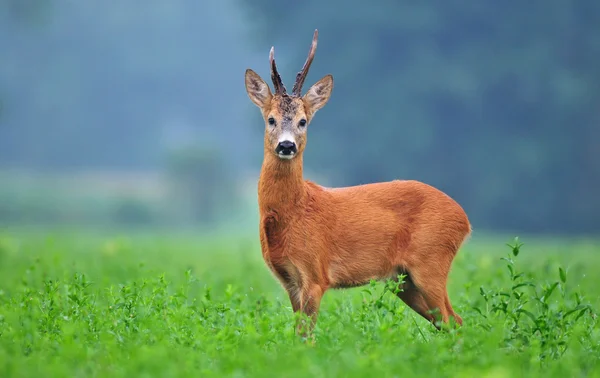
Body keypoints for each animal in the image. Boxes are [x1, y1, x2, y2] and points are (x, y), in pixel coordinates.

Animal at [244, 31, 474, 336]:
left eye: (303, 121)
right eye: (271, 119)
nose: (286, 145)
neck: (294, 210)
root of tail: (464, 220)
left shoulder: (316, 274)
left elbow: (307, 337)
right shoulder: (289, 280)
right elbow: (297, 333)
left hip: (431, 261)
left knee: (451, 320)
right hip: (404, 280)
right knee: (453, 321)